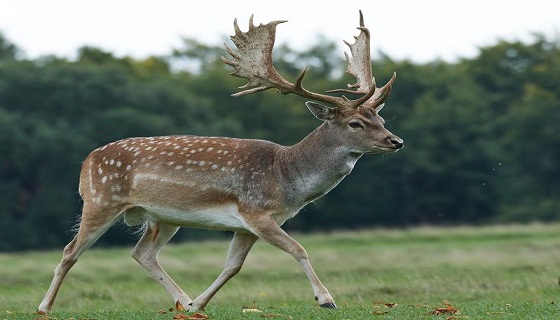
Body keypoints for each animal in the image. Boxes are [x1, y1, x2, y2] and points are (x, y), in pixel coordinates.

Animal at [37, 10, 402, 312]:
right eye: (355, 123)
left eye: (381, 119)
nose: (396, 141)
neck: (286, 175)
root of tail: (87, 161)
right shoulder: (255, 211)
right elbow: (299, 249)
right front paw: (326, 299)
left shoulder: (247, 225)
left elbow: (233, 266)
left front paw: (200, 304)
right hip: (101, 200)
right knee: (71, 251)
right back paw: (44, 307)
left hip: (162, 217)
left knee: (141, 253)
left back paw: (183, 302)